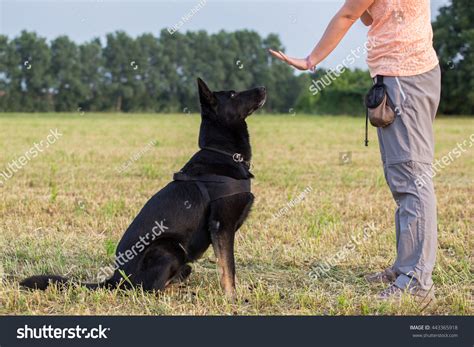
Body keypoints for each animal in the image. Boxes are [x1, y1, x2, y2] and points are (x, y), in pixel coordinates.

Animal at [20, 79, 266, 300]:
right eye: (233, 94)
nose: (263, 87)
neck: (222, 152)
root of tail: (115, 279)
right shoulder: (221, 226)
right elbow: (228, 268)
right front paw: (232, 298)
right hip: (170, 248)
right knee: (149, 289)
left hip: (184, 262)